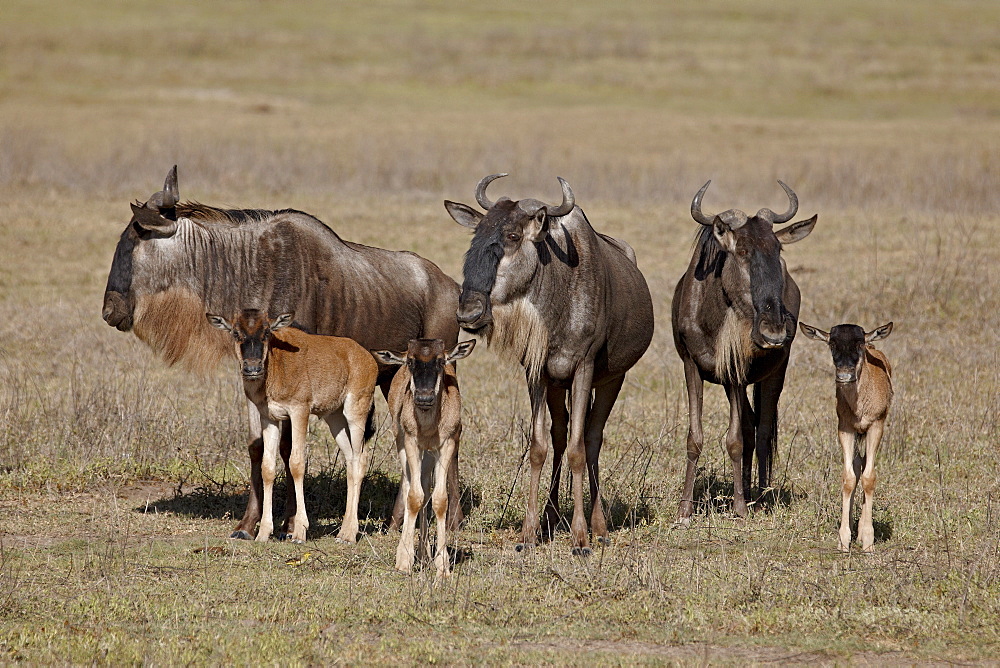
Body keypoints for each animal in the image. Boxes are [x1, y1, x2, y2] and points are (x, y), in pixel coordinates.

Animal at [205, 310, 376, 544]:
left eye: (267, 332)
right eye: (235, 333)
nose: (252, 368)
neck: (278, 364)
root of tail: (367, 358)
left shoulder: (299, 412)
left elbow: (297, 463)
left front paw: (299, 532)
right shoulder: (269, 419)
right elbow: (267, 467)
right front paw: (263, 532)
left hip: (355, 411)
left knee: (360, 459)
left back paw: (349, 535)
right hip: (335, 419)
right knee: (350, 459)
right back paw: (343, 531)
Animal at [376, 340, 476, 576]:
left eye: (440, 361)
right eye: (411, 361)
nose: (424, 398)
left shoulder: (446, 444)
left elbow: (439, 499)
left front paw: (443, 566)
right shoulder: (411, 442)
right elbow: (414, 496)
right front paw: (404, 562)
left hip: (429, 455)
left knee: (425, 485)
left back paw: (424, 555)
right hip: (404, 444)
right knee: (410, 486)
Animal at [800, 320, 896, 552]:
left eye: (859, 343)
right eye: (832, 343)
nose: (844, 376)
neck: (859, 403)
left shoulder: (876, 426)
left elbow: (870, 478)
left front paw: (868, 540)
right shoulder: (845, 429)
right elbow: (849, 477)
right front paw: (844, 539)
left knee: (865, 466)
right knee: (858, 465)